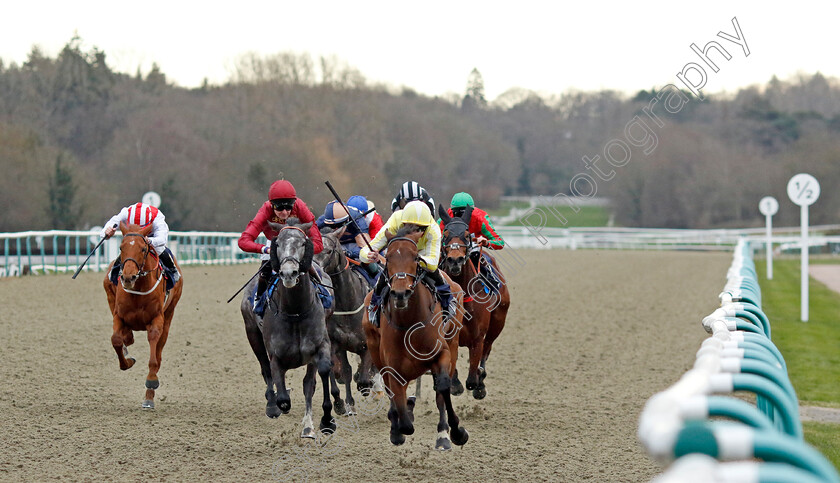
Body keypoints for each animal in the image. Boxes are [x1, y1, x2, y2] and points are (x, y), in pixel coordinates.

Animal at [104, 222, 183, 408]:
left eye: (142, 249)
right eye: (121, 247)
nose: (128, 277)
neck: (138, 288)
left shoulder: (156, 319)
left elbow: (154, 357)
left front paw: (151, 382)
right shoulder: (118, 315)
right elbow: (116, 340)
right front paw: (127, 361)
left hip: (170, 314)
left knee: (159, 352)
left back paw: (149, 397)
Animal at [238, 219, 336, 438]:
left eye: (303, 243)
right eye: (278, 244)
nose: (289, 273)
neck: (296, 311)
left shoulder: (320, 346)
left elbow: (318, 377)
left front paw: (325, 421)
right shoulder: (276, 355)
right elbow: (282, 396)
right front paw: (276, 404)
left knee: (308, 383)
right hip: (252, 334)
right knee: (265, 369)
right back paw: (271, 405)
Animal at [316, 227, 374, 416]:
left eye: (328, 251)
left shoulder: (368, 343)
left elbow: (363, 379)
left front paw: (366, 384)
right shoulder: (337, 343)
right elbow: (345, 371)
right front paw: (345, 404)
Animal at [360, 229, 470, 452]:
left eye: (415, 258)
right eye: (388, 257)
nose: (401, 293)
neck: (410, 324)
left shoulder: (442, 353)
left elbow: (443, 387)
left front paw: (457, 432)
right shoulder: (392, 366)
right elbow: (402, 414)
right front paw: (398, 427)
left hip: (453, 342)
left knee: (440, 390)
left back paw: (443, 435)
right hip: (375, 350)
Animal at [440, 207, 512, 400]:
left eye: (466, 234)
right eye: (445, 233)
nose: (455, 260)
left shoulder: (477, 338)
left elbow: (472, 378)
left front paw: (478, 382)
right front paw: (455, 384)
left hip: (498, 323)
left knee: (487, 349)